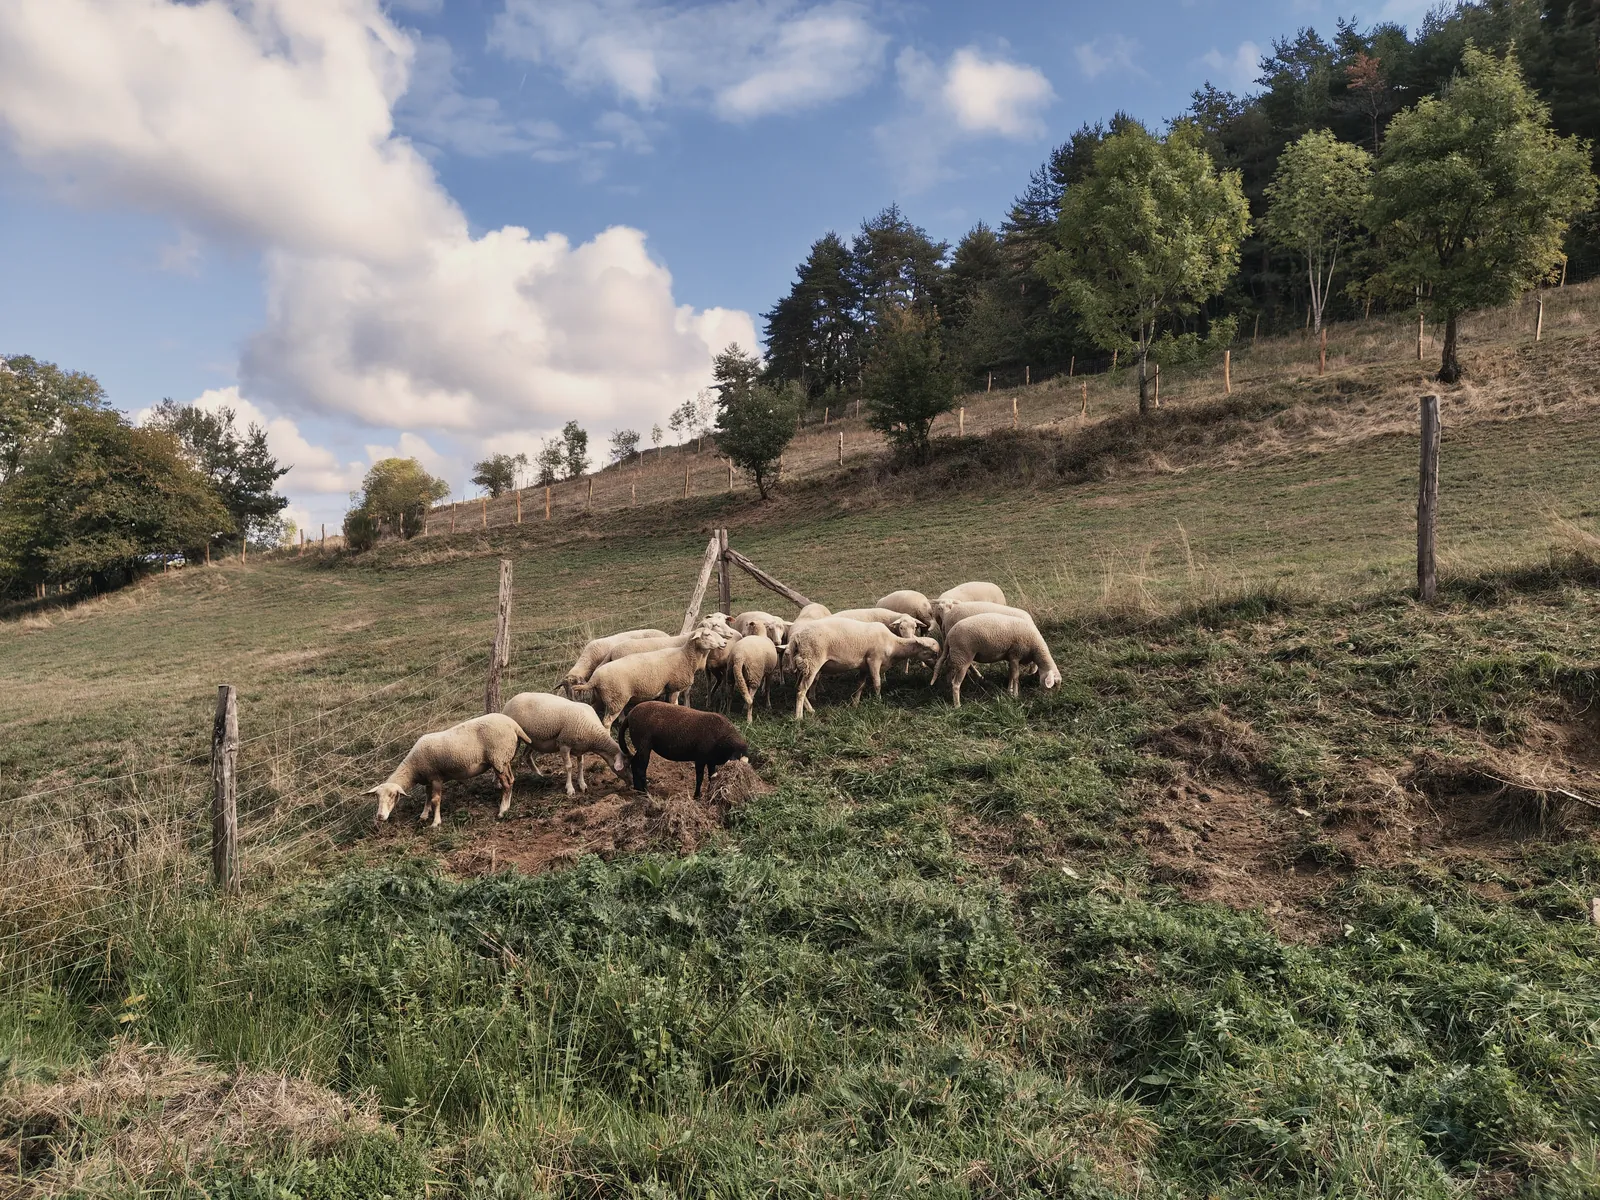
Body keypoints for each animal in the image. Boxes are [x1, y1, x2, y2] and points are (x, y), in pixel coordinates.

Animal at [366, 713, 529, 828]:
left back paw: (502, 811)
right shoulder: (428, 779)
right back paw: (507, 805)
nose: (380, 816)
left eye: (393, 796)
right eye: (376, 797)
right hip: (504, 759)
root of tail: (514, 725)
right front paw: (424, 815)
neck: (413, 768)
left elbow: (435, 799)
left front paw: (435, 822)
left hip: (498, 757)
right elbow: (427, 797)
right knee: (511, 780)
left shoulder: (435, 777)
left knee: (507, 784)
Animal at [571, 625, 731, 730]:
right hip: (616, 698)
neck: (685, 656)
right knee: (607, 722)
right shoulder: (675, 687)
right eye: (707, 634)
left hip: (609, 698)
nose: (724, 643)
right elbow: (675, 705)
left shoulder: (670, 688)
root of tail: (594, 678)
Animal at [617, 701, 750, 798]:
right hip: (643, 745)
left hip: (640, 746)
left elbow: (711, 777)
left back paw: (638, 789)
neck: (723, 737)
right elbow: (700, 778)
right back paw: (646, 792)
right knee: (641, 768)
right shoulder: (700, 758)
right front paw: (697, 796)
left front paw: (709, 794)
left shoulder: (711, 760)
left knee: (634, 763)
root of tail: (630, 715)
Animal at [784, 617, 941, 720]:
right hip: (812, 660)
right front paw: (878, 702)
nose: (936, 668)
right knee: (802, 690)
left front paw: (855, 704)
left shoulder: (864, 666)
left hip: (804, 665)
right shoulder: (874, 660)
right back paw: (799, 717)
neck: (894, 645)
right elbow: (877, 683)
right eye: (933, 653)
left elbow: (860, 685)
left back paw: (810, 710)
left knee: (798, 687)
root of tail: (796, 637)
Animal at [931, 613, 1061, 708]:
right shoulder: (1015, 654)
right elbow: (1016, 676)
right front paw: (1015, 695)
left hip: (956, 655)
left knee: (948, 668)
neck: (1035, 648)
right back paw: (957, 705)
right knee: (956, 684)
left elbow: (1011, 675)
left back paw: (947, 689)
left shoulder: (1011, 656)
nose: (1051, 701)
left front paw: (1009, 691)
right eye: (1054, 685)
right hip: (963, 657)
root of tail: (948, 636)